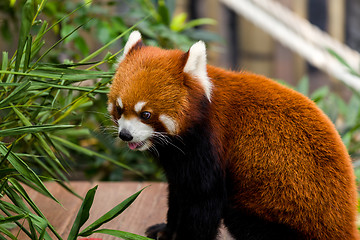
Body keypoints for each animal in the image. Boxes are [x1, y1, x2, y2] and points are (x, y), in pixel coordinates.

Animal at [108, 31, 358, 239]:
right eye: (119, 109)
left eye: (146, 114)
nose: (126, 135)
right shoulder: (178, 160)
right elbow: (178, 193)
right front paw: (167, 231)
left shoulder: (209, 144)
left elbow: (204, 199)